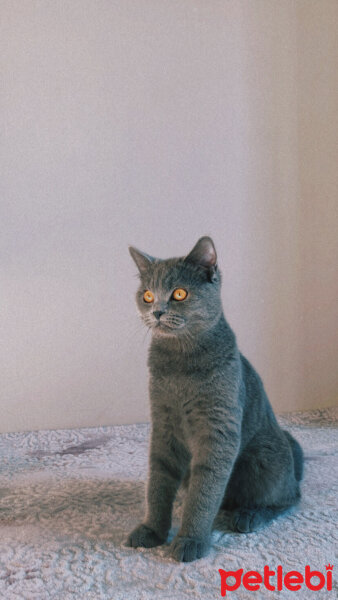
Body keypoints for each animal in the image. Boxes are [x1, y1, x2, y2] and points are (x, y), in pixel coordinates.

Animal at [126, 236, 304, 564]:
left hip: (264, 459)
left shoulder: (217, 428)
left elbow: (204, 489)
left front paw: (190, 540)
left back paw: (248, 515)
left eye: (179, 293)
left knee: (288, 497)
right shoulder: (163, 423)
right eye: (147, 295)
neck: (179, 363)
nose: (156, 311)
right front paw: (152, 531)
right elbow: (158, 480)